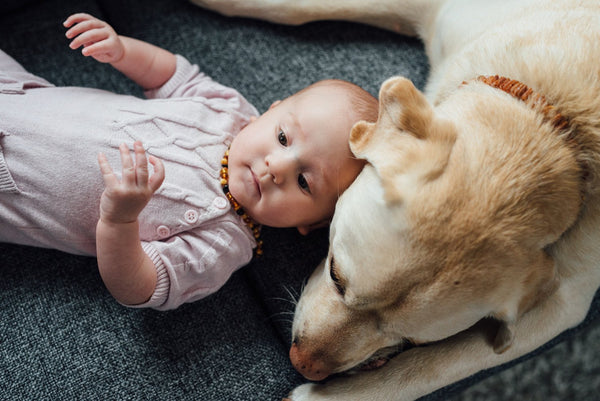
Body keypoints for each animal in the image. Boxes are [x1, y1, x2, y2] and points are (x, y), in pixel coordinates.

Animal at [192, 0, 600, 400]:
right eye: (336, 274)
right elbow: (297, 8)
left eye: (411, 339)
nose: (303, 364)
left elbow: (433, 368)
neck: (558, 121)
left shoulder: (564, 303)